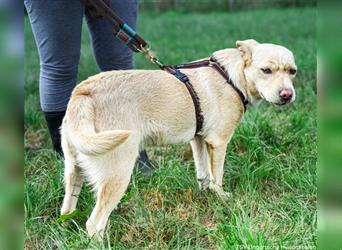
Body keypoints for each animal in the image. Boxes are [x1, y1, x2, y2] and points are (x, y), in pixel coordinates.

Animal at [59, 39, 296, 238]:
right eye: (266, 70)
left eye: (292, 71)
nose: (287, 95)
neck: (231, 76)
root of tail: (84, 91)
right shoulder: (219, 142)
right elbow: (217, 178)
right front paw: (221, 198)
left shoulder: (198, 139)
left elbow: (203, 175)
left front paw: (204, 196)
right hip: (117, 174)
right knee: (94, 223)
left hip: (73, 169)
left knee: (66, 209)